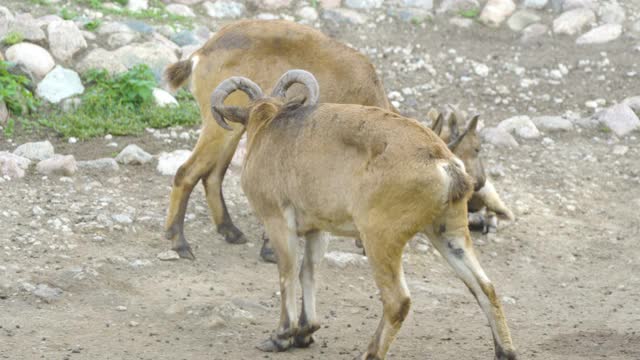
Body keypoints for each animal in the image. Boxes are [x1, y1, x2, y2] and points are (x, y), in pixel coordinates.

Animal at [208, 70, 516, 360]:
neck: (269, 126)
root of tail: (443, 162)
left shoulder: (277, 221)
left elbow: (287, 272)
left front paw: (281, 336)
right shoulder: (317, 228)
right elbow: (309, 271)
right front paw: (305, 333)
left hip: (380, 237)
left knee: (398, 301)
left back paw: (370, 352)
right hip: (447, 230)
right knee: (485, 287)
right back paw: (505, 351)